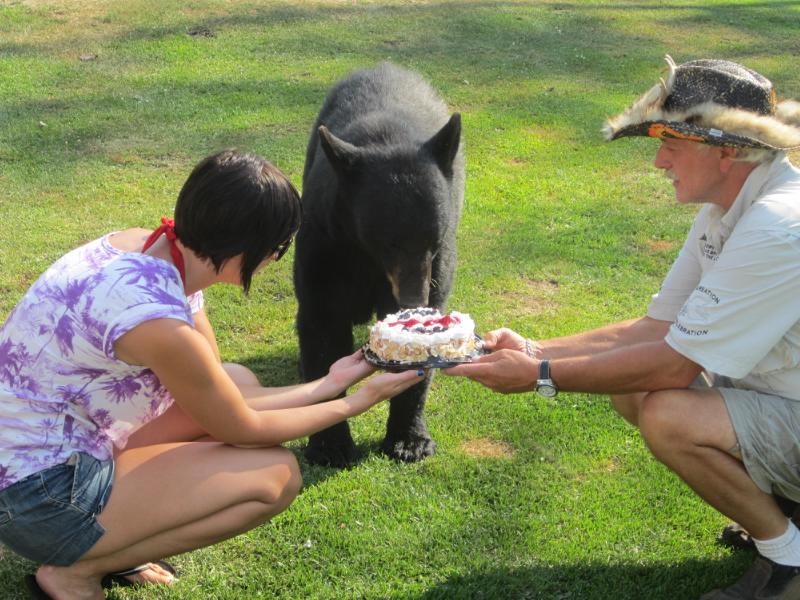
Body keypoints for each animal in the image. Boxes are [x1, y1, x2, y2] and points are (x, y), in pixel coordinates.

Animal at [293, 62, 465, 468]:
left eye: (434, 241)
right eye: (390, 243)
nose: (414, 300)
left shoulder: (437, 263)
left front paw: (409, 438)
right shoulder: (326, 245)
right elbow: (321, 329)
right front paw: (329, 444)